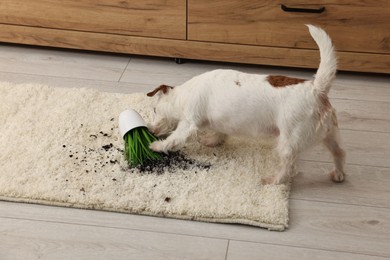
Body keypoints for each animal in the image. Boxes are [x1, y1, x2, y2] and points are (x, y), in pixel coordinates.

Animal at [148, 25, 346, 185]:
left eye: (154, 109)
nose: (151, 129)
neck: (183, 95)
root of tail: (317, 89)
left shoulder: (188, 123)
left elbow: (175, 138)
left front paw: (156, 145)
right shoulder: (221, 121)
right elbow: (219, 133)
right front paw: (212, 141)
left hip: (289, 142)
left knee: (289, 167)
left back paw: (273, 180)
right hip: (330, 134)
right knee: (339, 152)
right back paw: (338, 174)